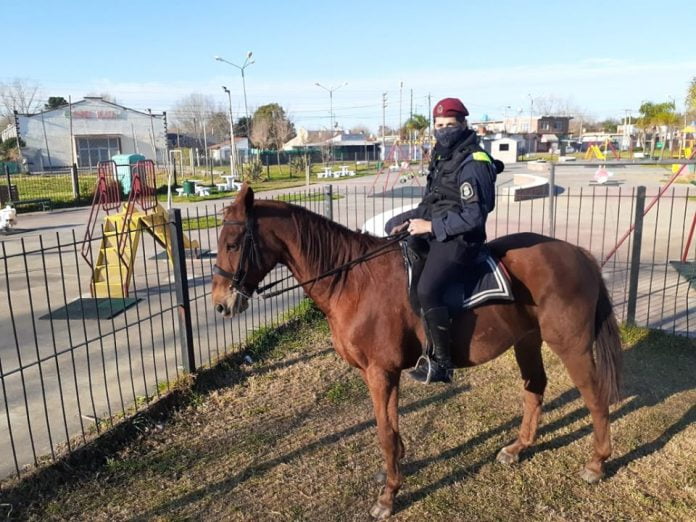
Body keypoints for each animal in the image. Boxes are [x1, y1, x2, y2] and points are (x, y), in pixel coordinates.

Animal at [211, 185, 620, 516]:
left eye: (232, 244)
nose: (220, 305)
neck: (352, 280)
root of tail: (577, 253)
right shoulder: (380, 373)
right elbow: (391, 427)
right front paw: (396, 468)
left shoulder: (380, 372)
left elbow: (383, 432)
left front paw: (388, 496)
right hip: (528, 340)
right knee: (535, 388)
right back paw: (518, 448)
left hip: (571, 345)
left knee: (594, 396)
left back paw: (597, 463)